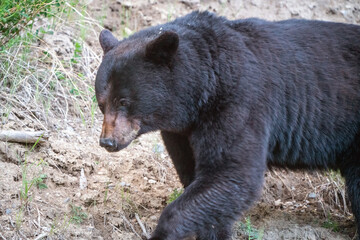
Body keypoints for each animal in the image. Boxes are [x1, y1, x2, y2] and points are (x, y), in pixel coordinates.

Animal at [95, 10, 360, 238]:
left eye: (124, 101)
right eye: (101, 103)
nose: (107, 141)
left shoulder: (239, 102)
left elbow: (232, 172)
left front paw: (163, 232)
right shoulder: (181, 131)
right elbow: (198, 177)